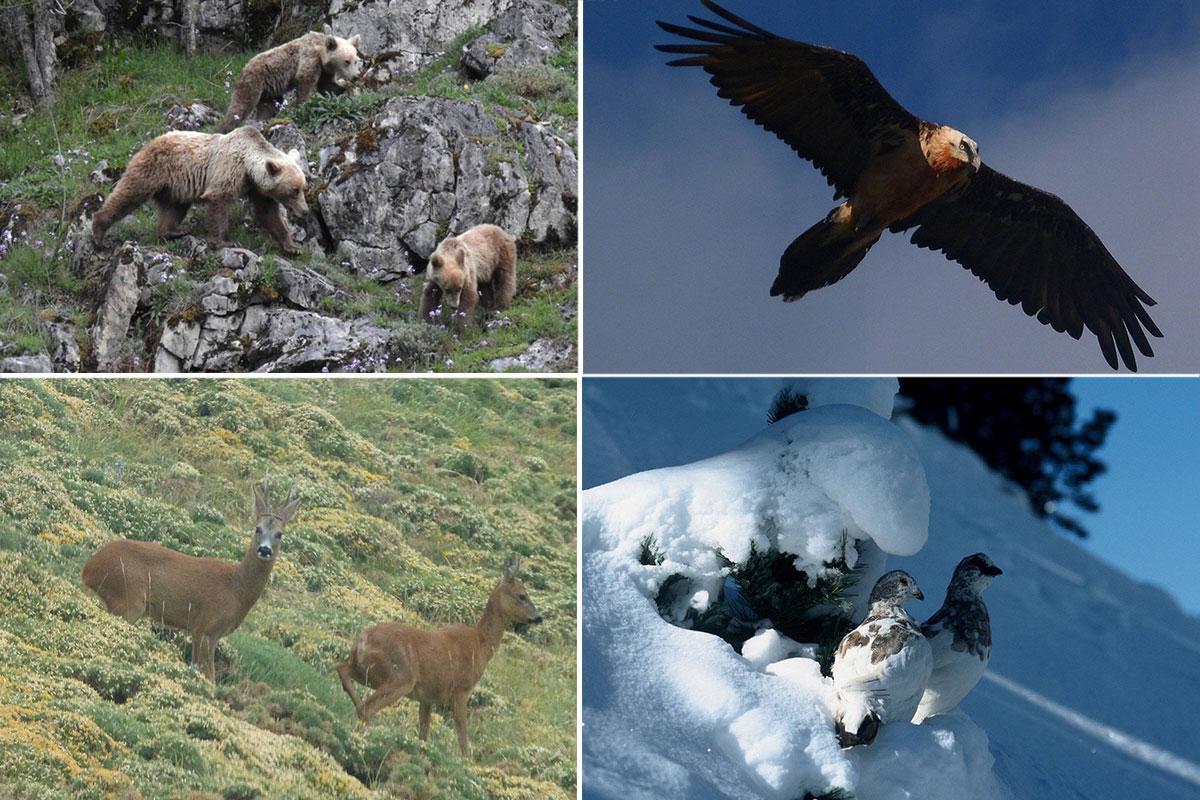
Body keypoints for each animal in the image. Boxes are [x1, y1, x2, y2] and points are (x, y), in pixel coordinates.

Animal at [81, 482, 300, 681]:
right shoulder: (205, 626)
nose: (264, 550)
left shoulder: (204, 631)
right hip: (128, 598)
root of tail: (88, 569)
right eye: (257, 529)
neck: (237, 589)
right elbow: (208, 676)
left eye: (279, 534)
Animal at [94, 127, 309, 253]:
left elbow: (268, 213)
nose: (305, 211)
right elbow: (218, 202)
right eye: (293, 190)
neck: (248, 167)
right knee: (129, 194)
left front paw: (292, 246)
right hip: (154, 169)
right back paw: (100, 233)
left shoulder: (256, 189)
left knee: (175, 208)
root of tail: (151, 141)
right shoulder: (228, 169)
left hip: (175, 187)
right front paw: (223, 242)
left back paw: (173, 231)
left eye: (303, 188)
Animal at [218, 32, 360, 131]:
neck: (321, 54)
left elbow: (326, 86)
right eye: (346, 61)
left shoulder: (324, 71)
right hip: (253, 82)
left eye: (356, 60)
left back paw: (262, 121)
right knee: (240, 106)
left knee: (268, 107)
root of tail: (244, 68)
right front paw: (303, 106)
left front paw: (346, 89)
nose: (356, 76)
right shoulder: (310, 58)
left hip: (269, 92)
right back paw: (225, 128)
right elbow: (305, 81)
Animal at [336, 556, 547, 758]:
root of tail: (362, 640)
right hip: (401, 676)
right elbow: (462, 736)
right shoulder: (461, 690)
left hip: (368, 671)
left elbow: (424, 733)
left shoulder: (427, 697)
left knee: (342, 670)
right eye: (522, 595)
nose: (539, 617)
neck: (481, 644)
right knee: (366, 706)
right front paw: (466, 762)